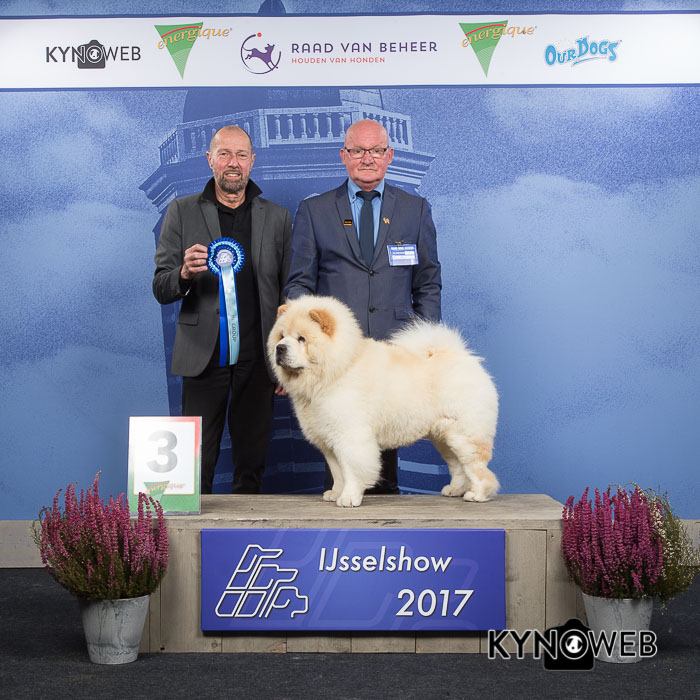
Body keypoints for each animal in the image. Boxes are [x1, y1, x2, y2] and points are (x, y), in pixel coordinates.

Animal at [269, 296, 499, 508]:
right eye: (281, 336)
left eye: (301, 339)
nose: (280, 348)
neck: (337, 370)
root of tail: (464, 358)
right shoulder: (328, 438)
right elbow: (337, 472)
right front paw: (335, 493)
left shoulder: (350, 436)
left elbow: (352, 470)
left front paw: (349, 498)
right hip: (444, 436)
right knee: (457, 465)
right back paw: (454, 490)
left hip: (465, 432)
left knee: (476, 466)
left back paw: (477, 494)